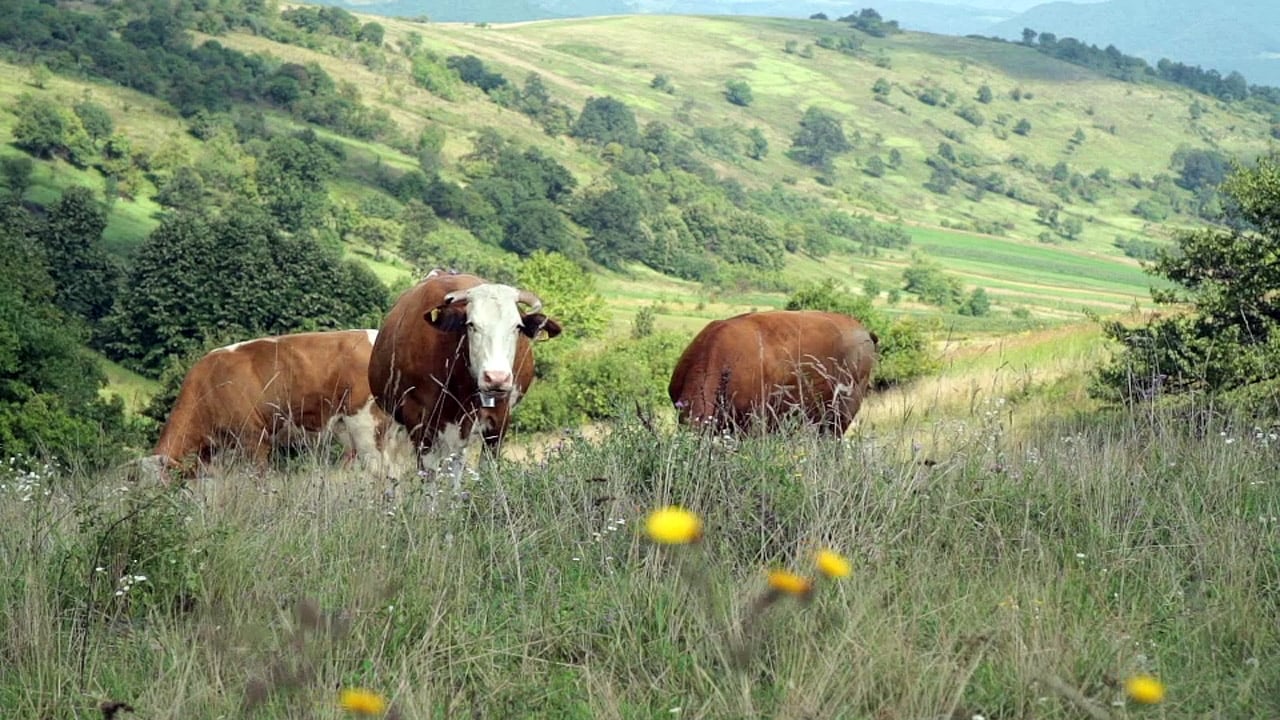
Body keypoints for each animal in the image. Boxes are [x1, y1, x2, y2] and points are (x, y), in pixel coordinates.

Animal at [363, 269, 558, 486]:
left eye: (517, 327)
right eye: (471, 324)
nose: (496, 378)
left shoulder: (497, 419)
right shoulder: (419, 420)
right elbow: (430, 477)